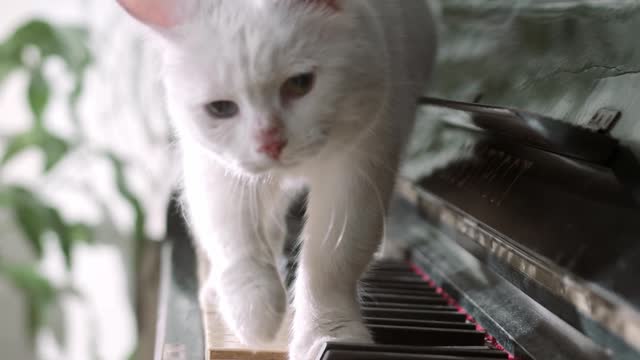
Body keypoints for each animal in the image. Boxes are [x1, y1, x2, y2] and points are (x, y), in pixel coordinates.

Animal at [116, 0, 436, 358]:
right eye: (221, 109)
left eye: (300, 83)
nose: (270, 143)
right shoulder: (216, 169)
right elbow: (236, 240)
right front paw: (255, 316)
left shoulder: (361, 167)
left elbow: (331, 264)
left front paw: (329, 335)